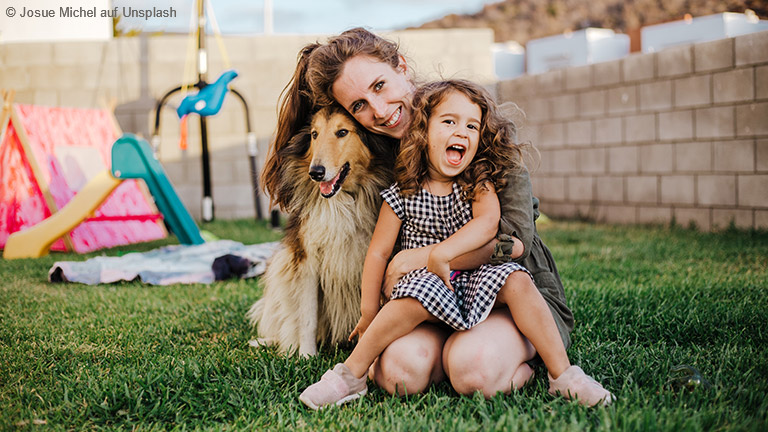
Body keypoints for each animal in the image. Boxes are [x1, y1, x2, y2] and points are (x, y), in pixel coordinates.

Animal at [249, 104, 396, 354]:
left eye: (342, 132)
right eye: (314, 134)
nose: (316, 172)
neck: (341, 201)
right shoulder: (307, 259)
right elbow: (307, 316)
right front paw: (307, 356)